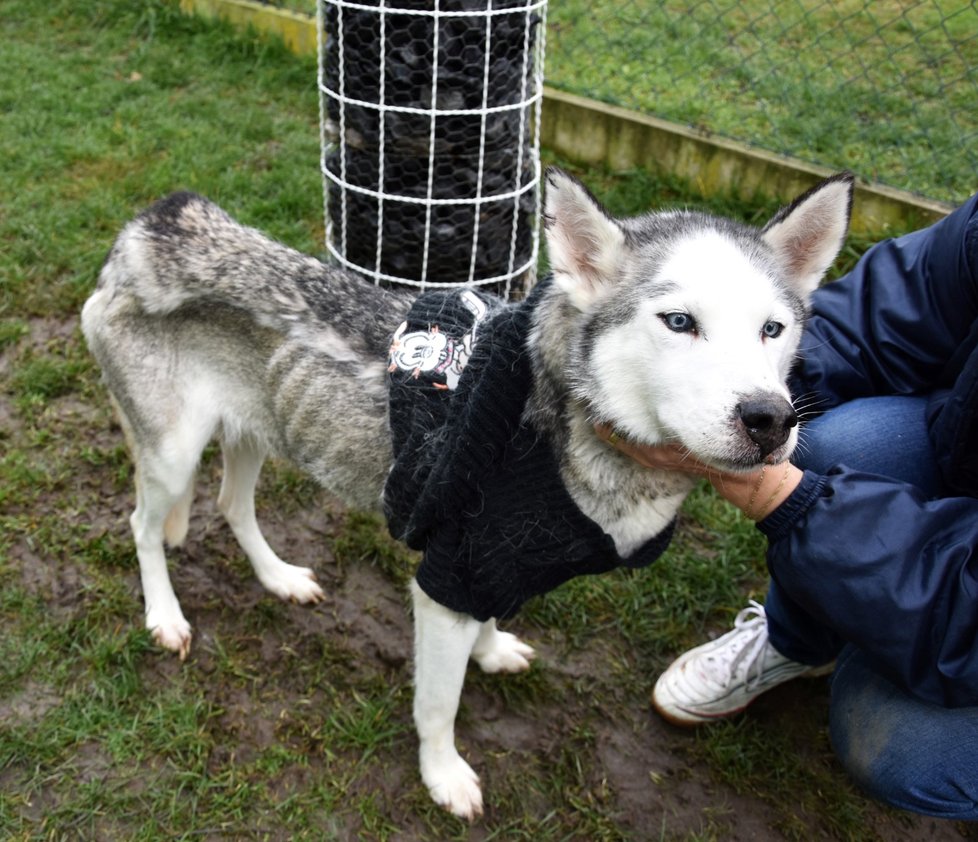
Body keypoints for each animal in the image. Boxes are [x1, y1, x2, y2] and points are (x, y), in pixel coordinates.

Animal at [82, 167, 848, 816]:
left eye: (773, 330)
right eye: (680, 322)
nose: (770, 419)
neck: (558, 428)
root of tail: (144, 229)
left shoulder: (495, 564)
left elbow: (487, 622)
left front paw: (491, 651)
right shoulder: (442, 584)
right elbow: (437, 706)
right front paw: (443, 777)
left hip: (256, 433)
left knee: (231, 508)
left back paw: (279, 579)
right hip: (174, 457)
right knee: (142, 528)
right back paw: (165, 617)